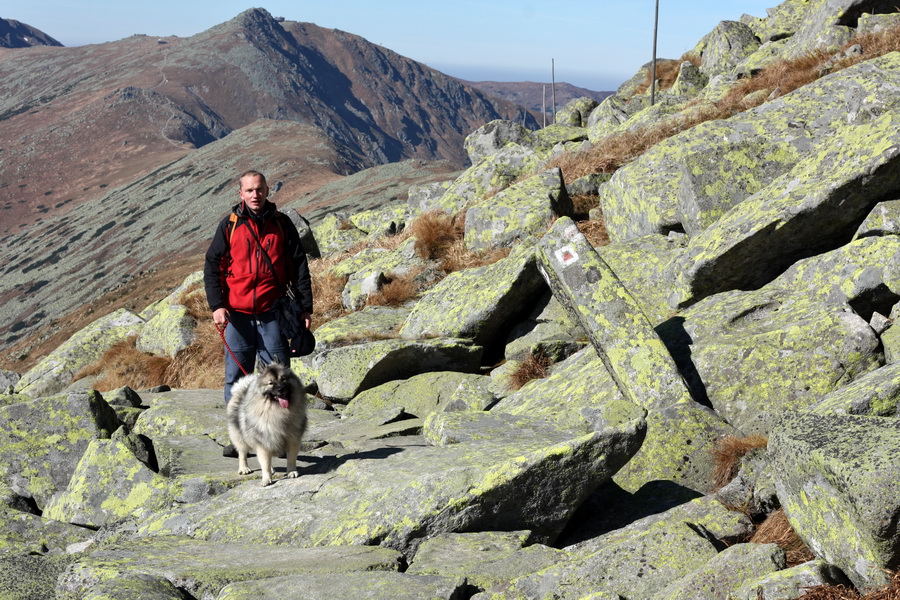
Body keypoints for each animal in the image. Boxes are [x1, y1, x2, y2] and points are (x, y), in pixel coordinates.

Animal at [227, 358, 308, 486]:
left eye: (283, 379)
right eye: (270, 383)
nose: (281, 389)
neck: (277, 411)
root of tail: (242, 390)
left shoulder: (293, 440)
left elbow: (291, 459)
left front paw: (291, 472)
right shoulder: (263, 443)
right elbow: (264, 462)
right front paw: (266, 479)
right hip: (239, 437)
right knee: (242, 453)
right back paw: (244, 468)